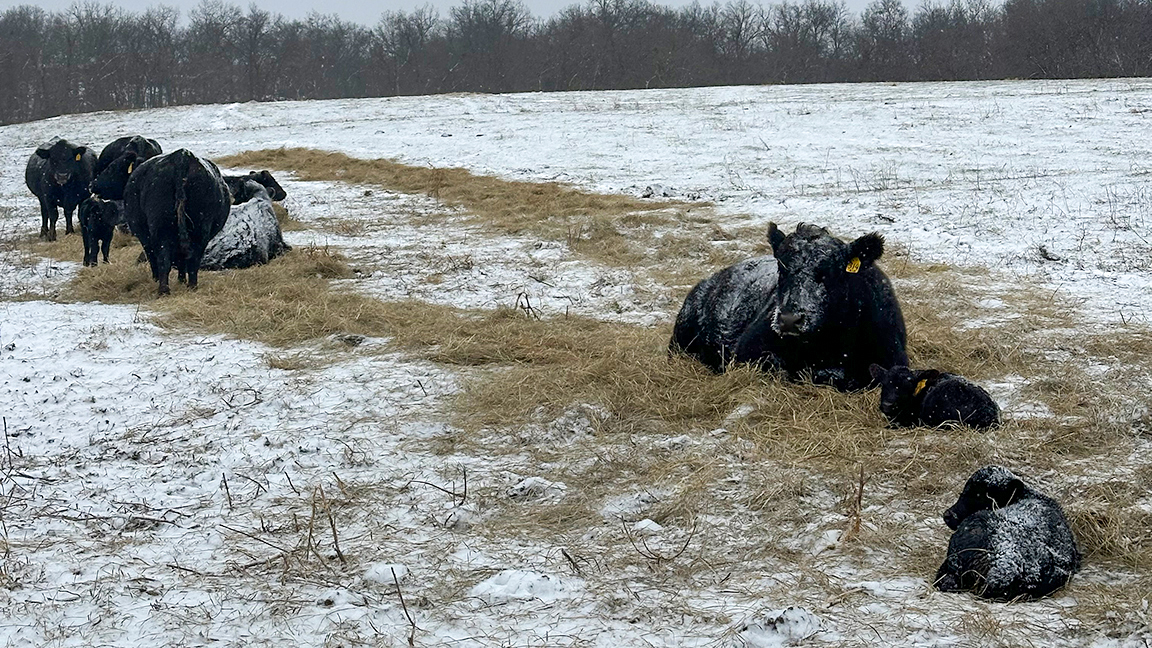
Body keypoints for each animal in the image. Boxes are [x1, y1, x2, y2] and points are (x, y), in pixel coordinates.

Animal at [123, 149, 231, 295]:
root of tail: (181, 155)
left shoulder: (144, 236)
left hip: (161, 228)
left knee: (163, 259)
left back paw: (164, 290)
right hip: (200, 227)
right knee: (193, 258)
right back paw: (191, 286)